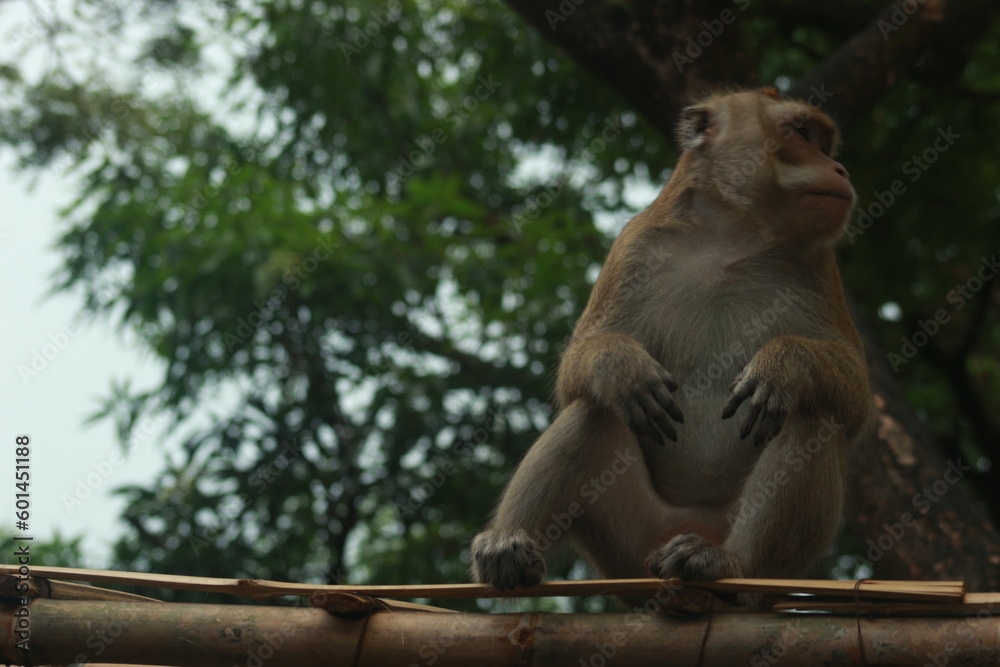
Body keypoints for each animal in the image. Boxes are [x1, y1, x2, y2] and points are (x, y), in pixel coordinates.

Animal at [470, 88, 874, 607]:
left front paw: (784, 365)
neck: (731, 240)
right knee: (595, 410)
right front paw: (620, 365)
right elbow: (576, 374)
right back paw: (508, 547)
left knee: (810, 415)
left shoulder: (820, 268)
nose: (839, 169)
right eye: (803, 133)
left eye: (824, 141)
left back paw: (725, 566)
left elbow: (855, 398)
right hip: (629, 541)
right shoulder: (634, 247)